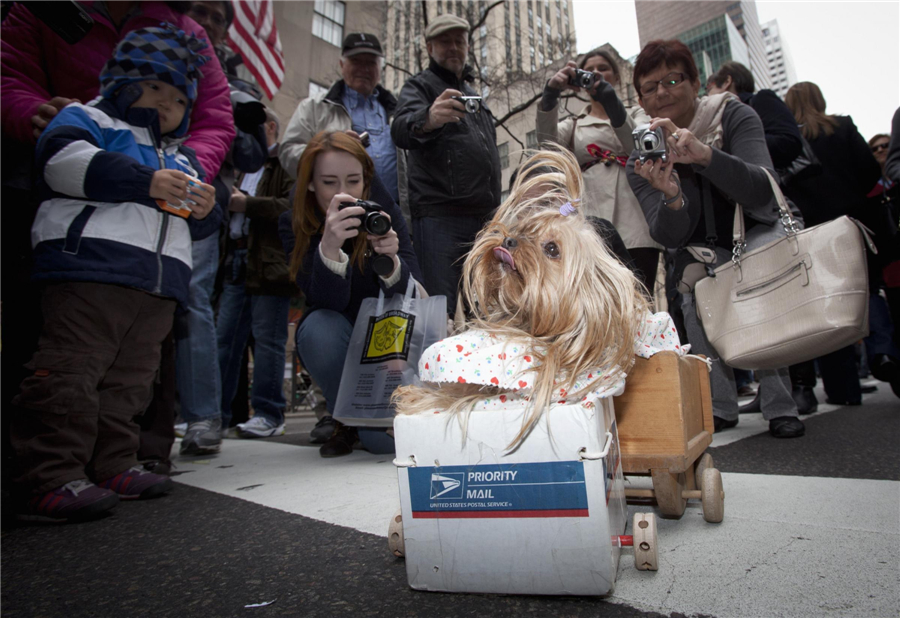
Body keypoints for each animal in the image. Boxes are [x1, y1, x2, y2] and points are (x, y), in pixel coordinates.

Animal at [394, 149, 684, 448]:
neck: (532, 322)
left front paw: (419, 396)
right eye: (522, 229)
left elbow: (466, 396)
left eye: (552, 248)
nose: (509, 241)